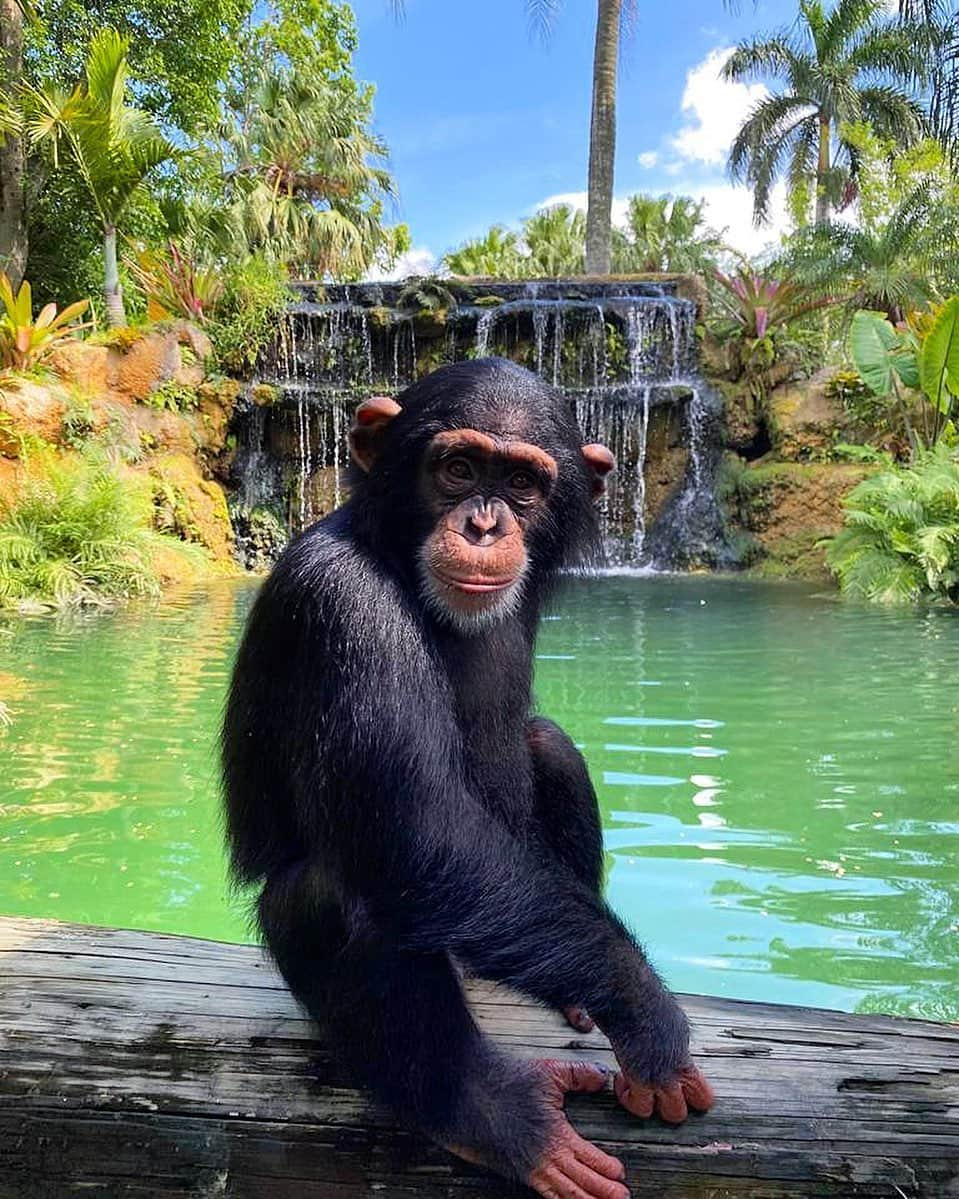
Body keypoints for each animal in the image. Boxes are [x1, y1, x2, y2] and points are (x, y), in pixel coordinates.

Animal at [222, 357, 709, 1199]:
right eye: (457, 470)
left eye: (520, 483)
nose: (484, 523)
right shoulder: (341, 605)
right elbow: (417, 828)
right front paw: (644, 1010)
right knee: (340, 889)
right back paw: (495, 1118)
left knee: (549, 745)